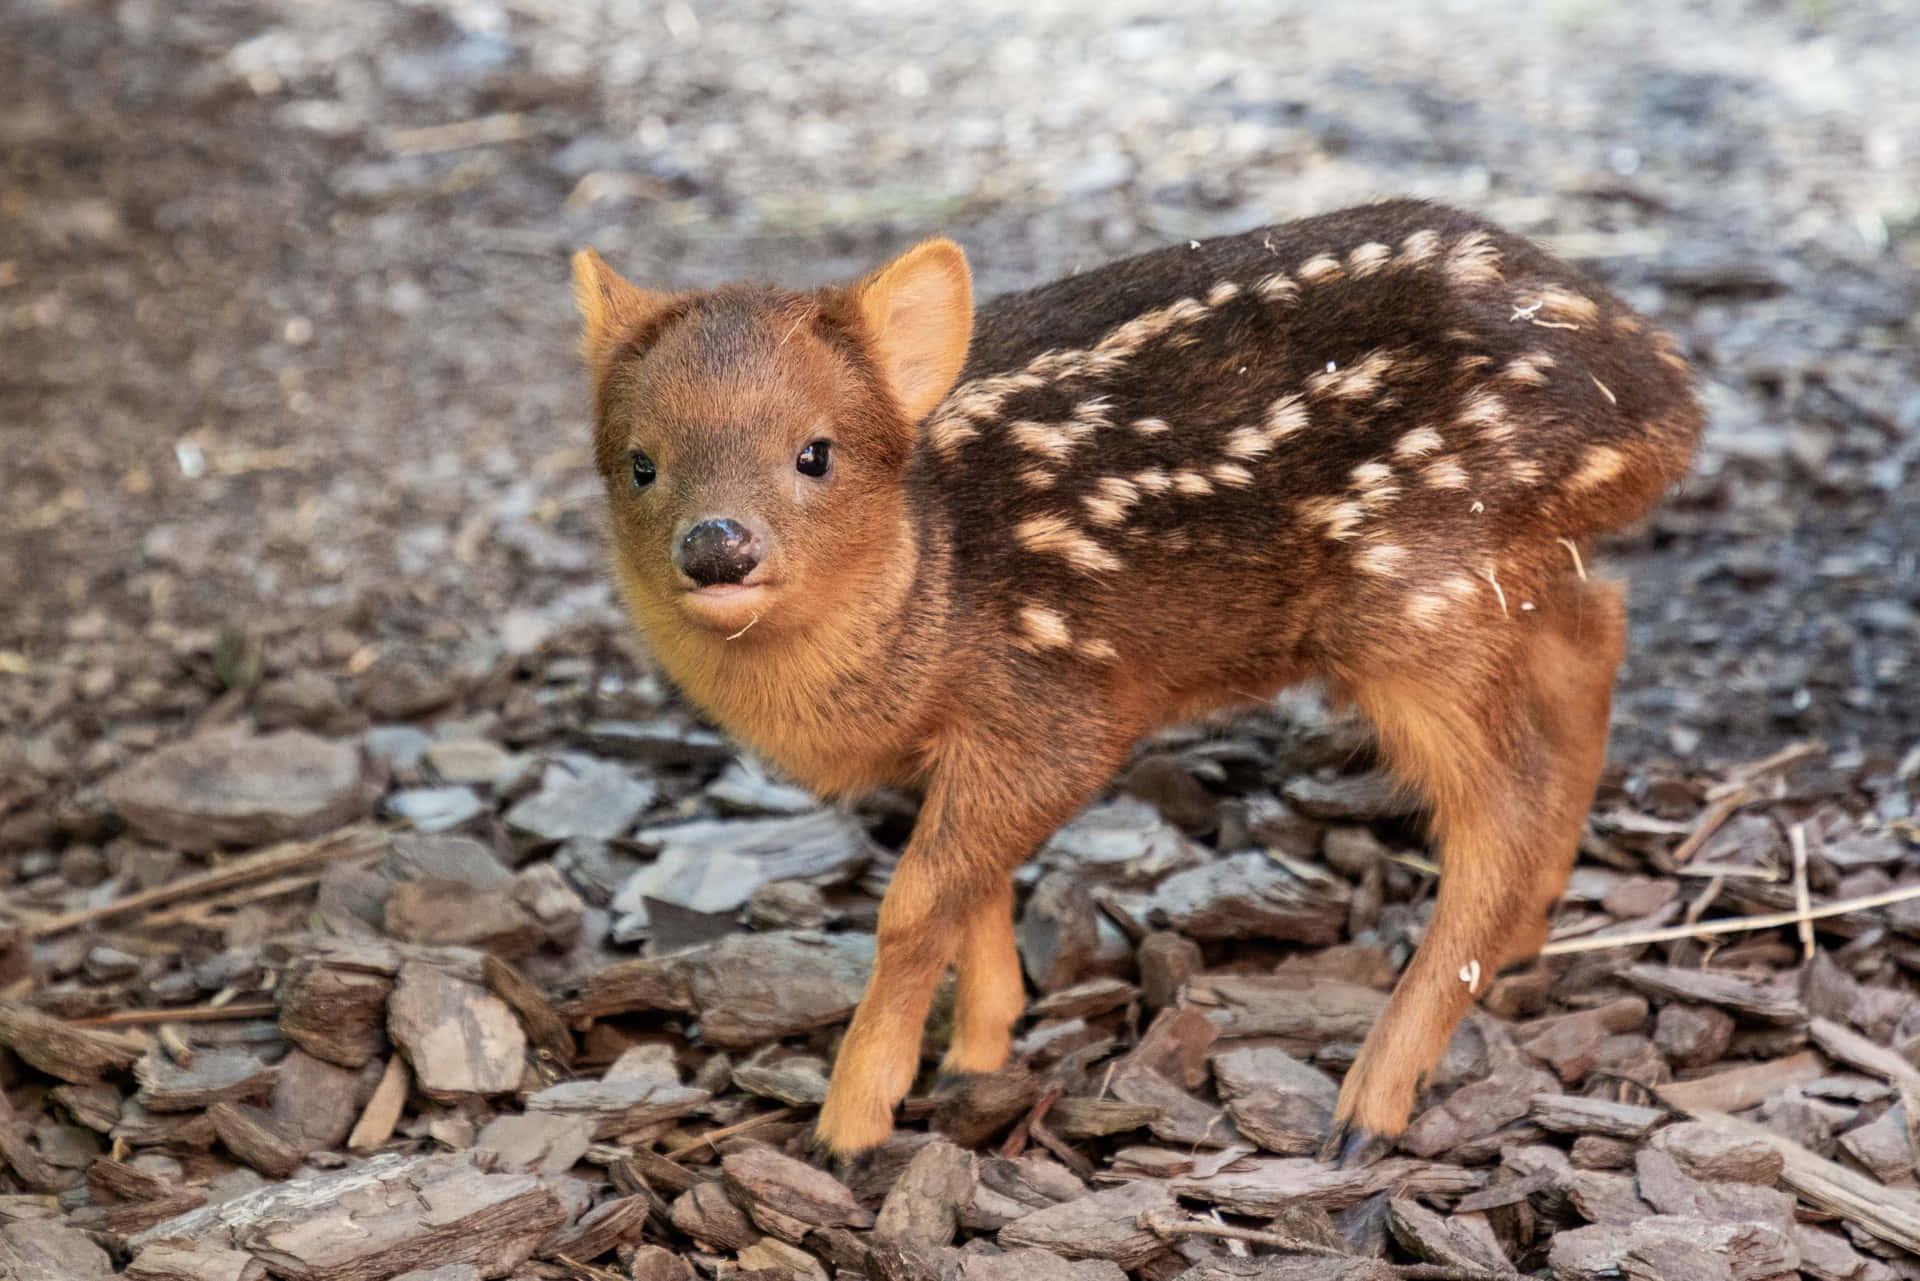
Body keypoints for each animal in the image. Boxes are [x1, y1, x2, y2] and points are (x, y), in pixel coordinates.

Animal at [564, 197, 1697, 1160]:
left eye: (816, 453)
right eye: (640, 463)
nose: (717, 546)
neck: (930, 588)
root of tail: (1667, 398)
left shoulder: (1058, 707)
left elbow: (916, 899)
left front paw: (854, 1123)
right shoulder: (971, 733)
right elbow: (972, 888)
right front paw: (977, 1052)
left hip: (1422, 587)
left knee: (1500, 810)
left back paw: (1366, 1110)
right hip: (1499, 575)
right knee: (1597, 632)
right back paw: (1523, 942)